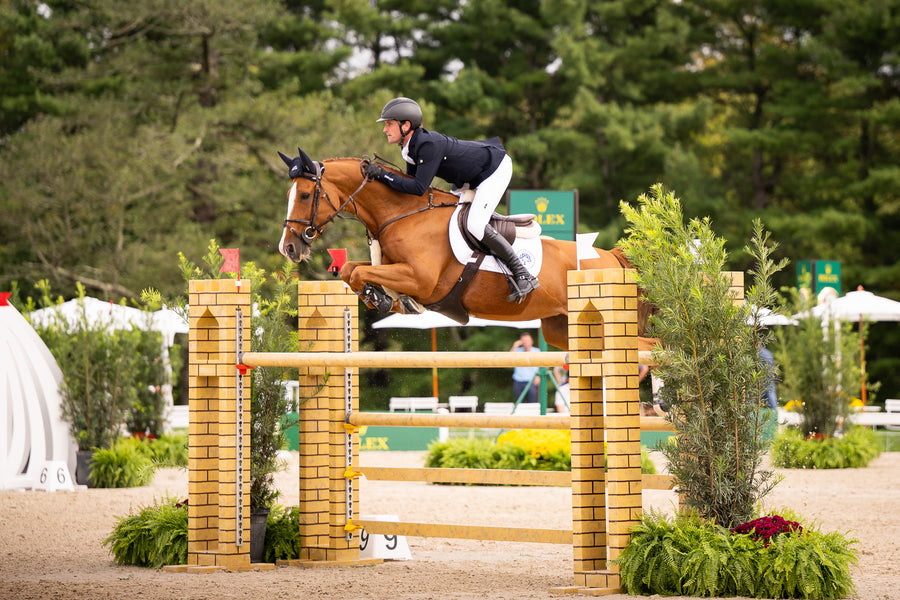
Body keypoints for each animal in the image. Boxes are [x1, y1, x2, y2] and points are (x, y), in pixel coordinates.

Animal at [278, 148, 652, 352]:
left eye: (306, 195)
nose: (289, 248)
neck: (402, 214)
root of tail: (611, 258)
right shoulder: (395, 268)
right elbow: (351, 269)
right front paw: (387, 299)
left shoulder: (421, 278)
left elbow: (361, 272)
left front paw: (383, 298)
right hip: (562, 329)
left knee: (652, 349)